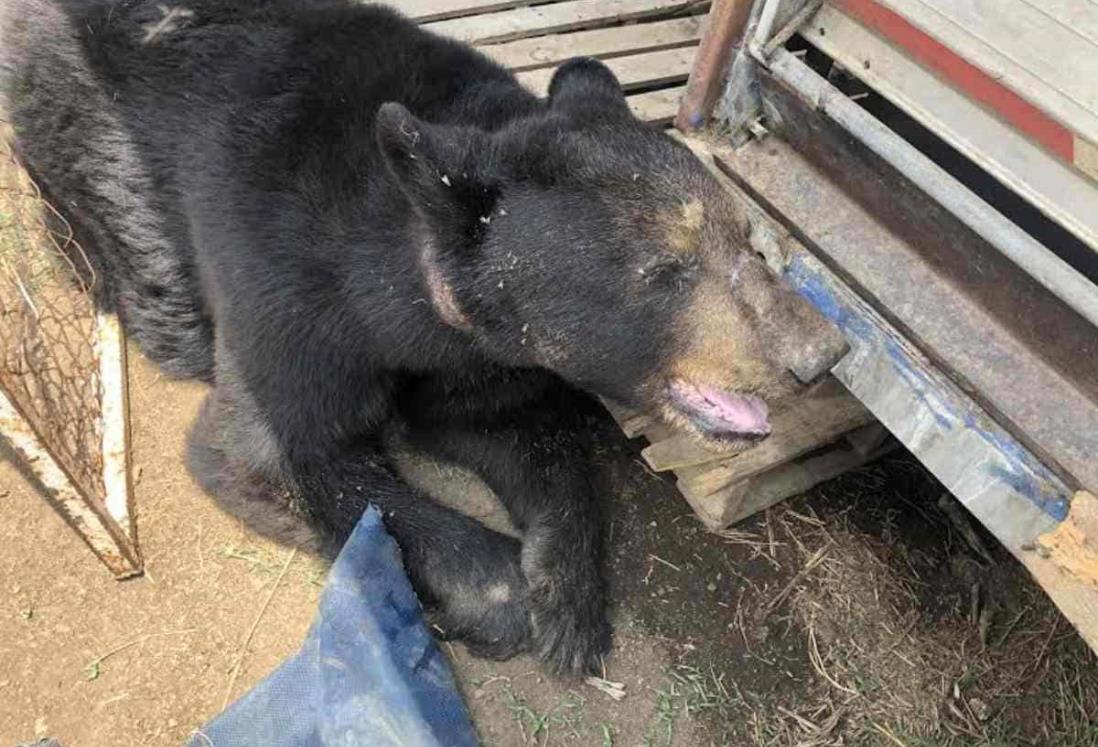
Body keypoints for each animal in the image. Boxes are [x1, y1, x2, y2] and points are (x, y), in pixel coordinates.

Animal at [2, 0, 847, 672]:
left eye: (747, 237)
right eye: (664, 269)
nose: (819, 353)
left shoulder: (474, 344)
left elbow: (514, 427)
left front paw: (567, 598)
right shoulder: (284, 289)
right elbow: (276, 453)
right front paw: (500, 598)